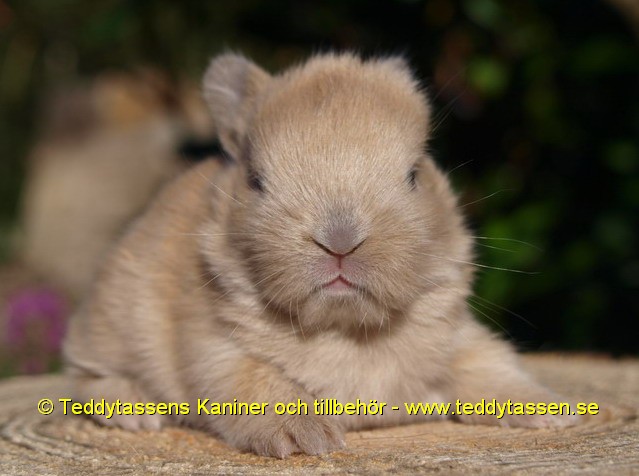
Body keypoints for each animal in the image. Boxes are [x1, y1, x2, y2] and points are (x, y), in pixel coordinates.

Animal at [63, 52, 577, 458]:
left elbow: (494, 370)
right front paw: (307, 440)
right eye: (256, 180)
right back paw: (138, 411)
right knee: (83, 381)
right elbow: (260, 383)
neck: (345, 329)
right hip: (106, 329)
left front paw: (558, 413)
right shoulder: (215, 350)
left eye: (414, 174)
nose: (340, 240)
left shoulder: (461, 340)